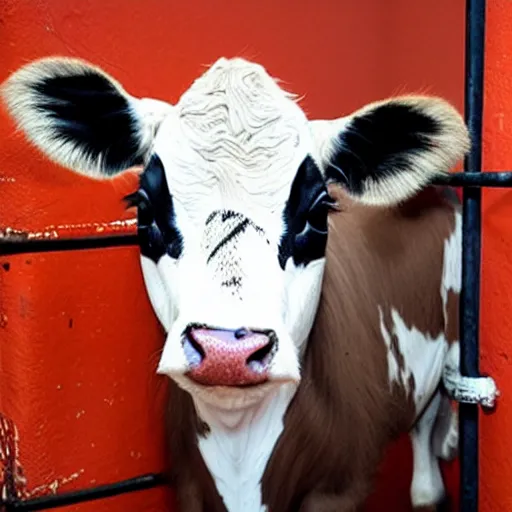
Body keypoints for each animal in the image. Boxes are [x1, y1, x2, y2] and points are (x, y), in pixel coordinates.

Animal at [0, 57, 496, 512]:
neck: (241, 448)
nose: (227, 350)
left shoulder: (341, 485)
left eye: (318, 211)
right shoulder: (189, 484)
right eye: (145, 207)